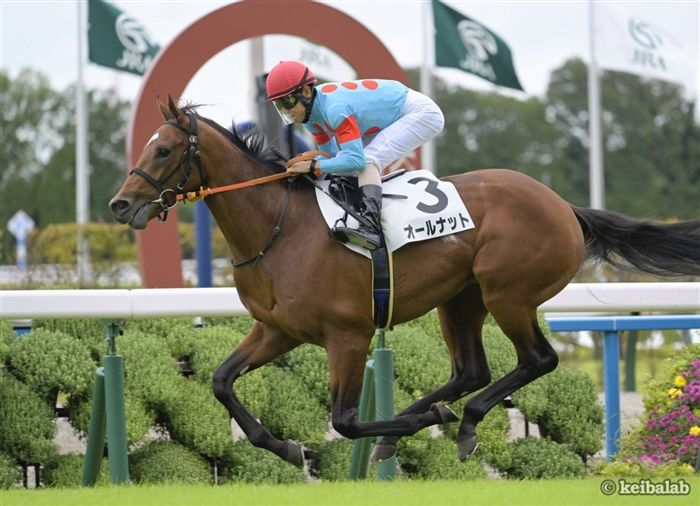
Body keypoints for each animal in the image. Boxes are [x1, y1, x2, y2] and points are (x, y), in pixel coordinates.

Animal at [109, 96, 700, 467]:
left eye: (163, 149)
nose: (120, 204)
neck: (279, 227)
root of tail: (563, 206)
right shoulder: (277, 330)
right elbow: (220, 381)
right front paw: (287, 448)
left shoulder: (347, 335)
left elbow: (346, 420)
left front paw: (395, 429)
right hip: (460, 299)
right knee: (470, 370)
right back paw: (420, 421)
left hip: (507, 292)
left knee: (537, 360)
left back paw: (461, 423)